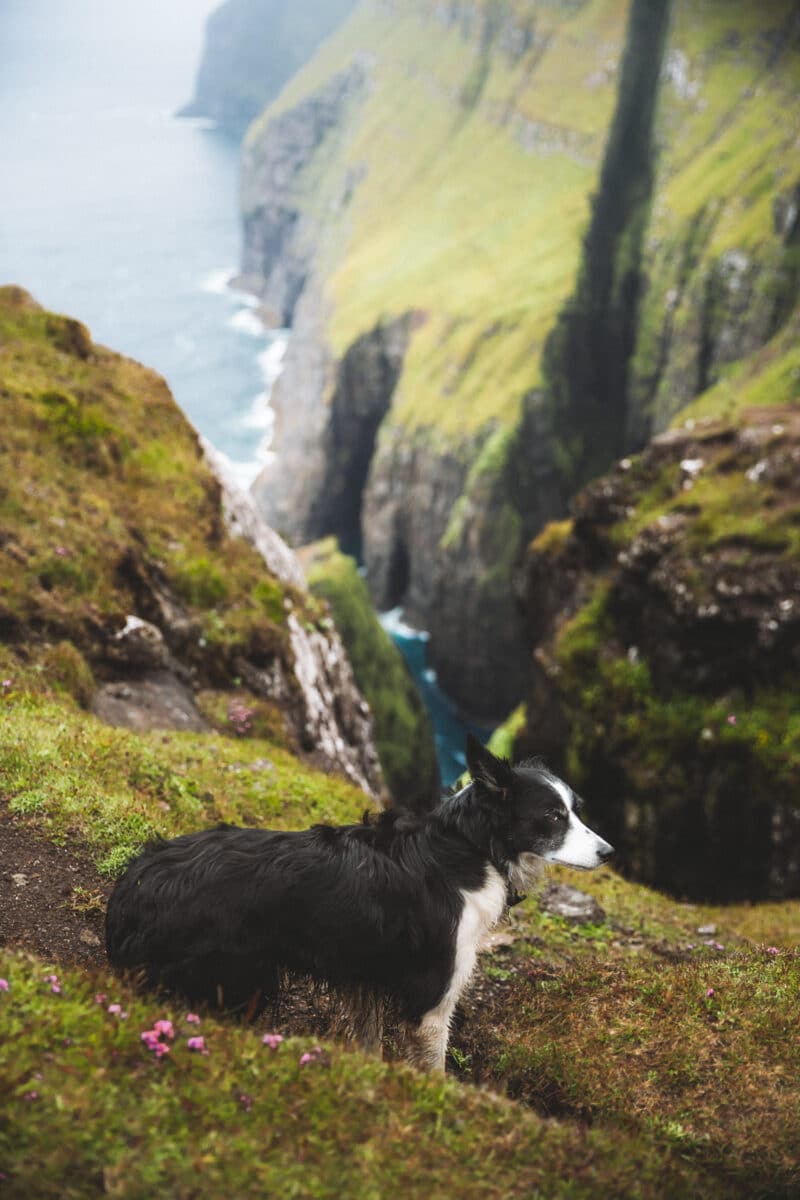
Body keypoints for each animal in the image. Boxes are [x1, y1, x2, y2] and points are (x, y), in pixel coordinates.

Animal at [106, 734, 614, 1075]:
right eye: (553, 816)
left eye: (575, 810)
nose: (608, 852)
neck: (471, 847)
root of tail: (132, 888)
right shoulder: (431, 996)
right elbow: (433, 1068)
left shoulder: (365, 981)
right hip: (245, 976)